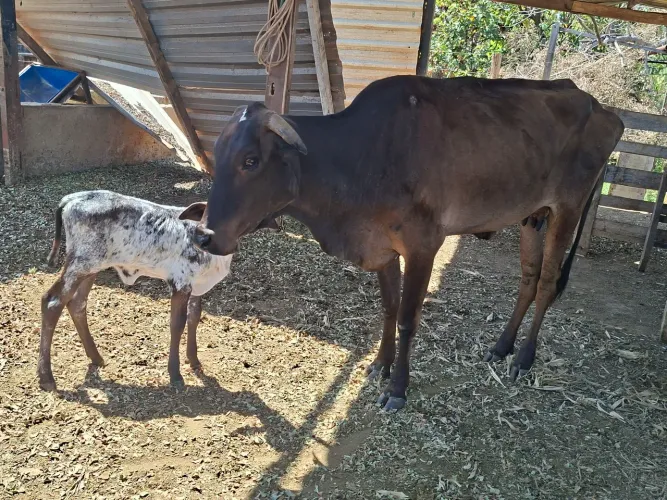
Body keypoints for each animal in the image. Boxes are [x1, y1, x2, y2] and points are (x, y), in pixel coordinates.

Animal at [37, 190, 276, 392]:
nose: (208, 236)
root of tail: (71, 198)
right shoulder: (180, 283)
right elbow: (177, 324)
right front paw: (175, 374)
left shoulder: (197, 287)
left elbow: (194, 317)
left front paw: (194, 360)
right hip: (80, 264)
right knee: (53, 302)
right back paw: (46, 377)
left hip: (92, 267)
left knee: (77, 304)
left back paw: (96, 358)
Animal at [198, 75, 624, 411]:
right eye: (218, 154)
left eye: (250, 160)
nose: (204, 234)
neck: (359, 158)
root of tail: (597, 105)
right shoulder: (383, 249)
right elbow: (388, 308)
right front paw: (379, 365)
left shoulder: (423, 247)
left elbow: (406, 318)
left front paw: (398, 388)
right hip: (533, 217)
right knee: (528, 280)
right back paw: (501, 346)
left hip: (567, 210)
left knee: (548, 283)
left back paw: (523, 357)